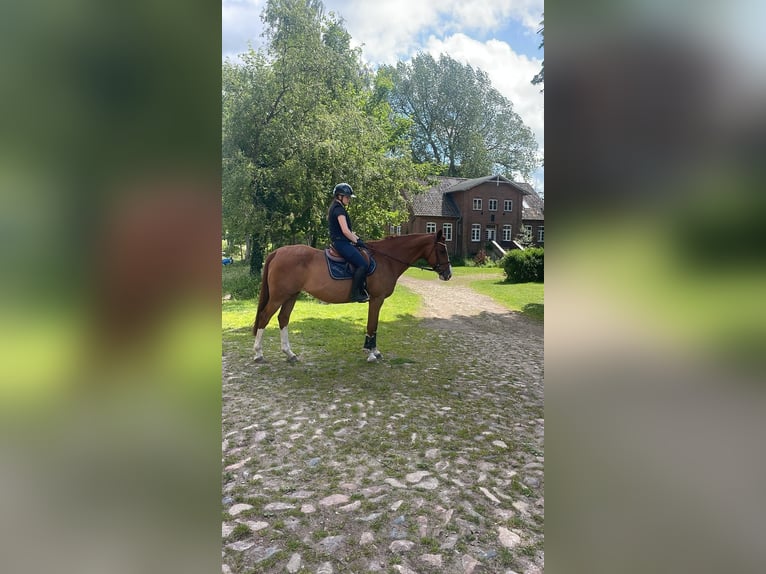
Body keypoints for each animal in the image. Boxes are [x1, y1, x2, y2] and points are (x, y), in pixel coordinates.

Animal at [253, 230, 452, 363]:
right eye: (442, 251)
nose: (448, 274)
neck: (386, 259)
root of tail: (277, 252)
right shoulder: (376, 299)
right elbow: (372, 324)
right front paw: (371, 353)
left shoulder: (376, 300)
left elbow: (374, 325)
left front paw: (374, 351)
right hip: (279, 296)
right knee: (264, 317)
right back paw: (258, 354)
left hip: (291, 295)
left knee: (283, 318)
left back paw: (289, 353)